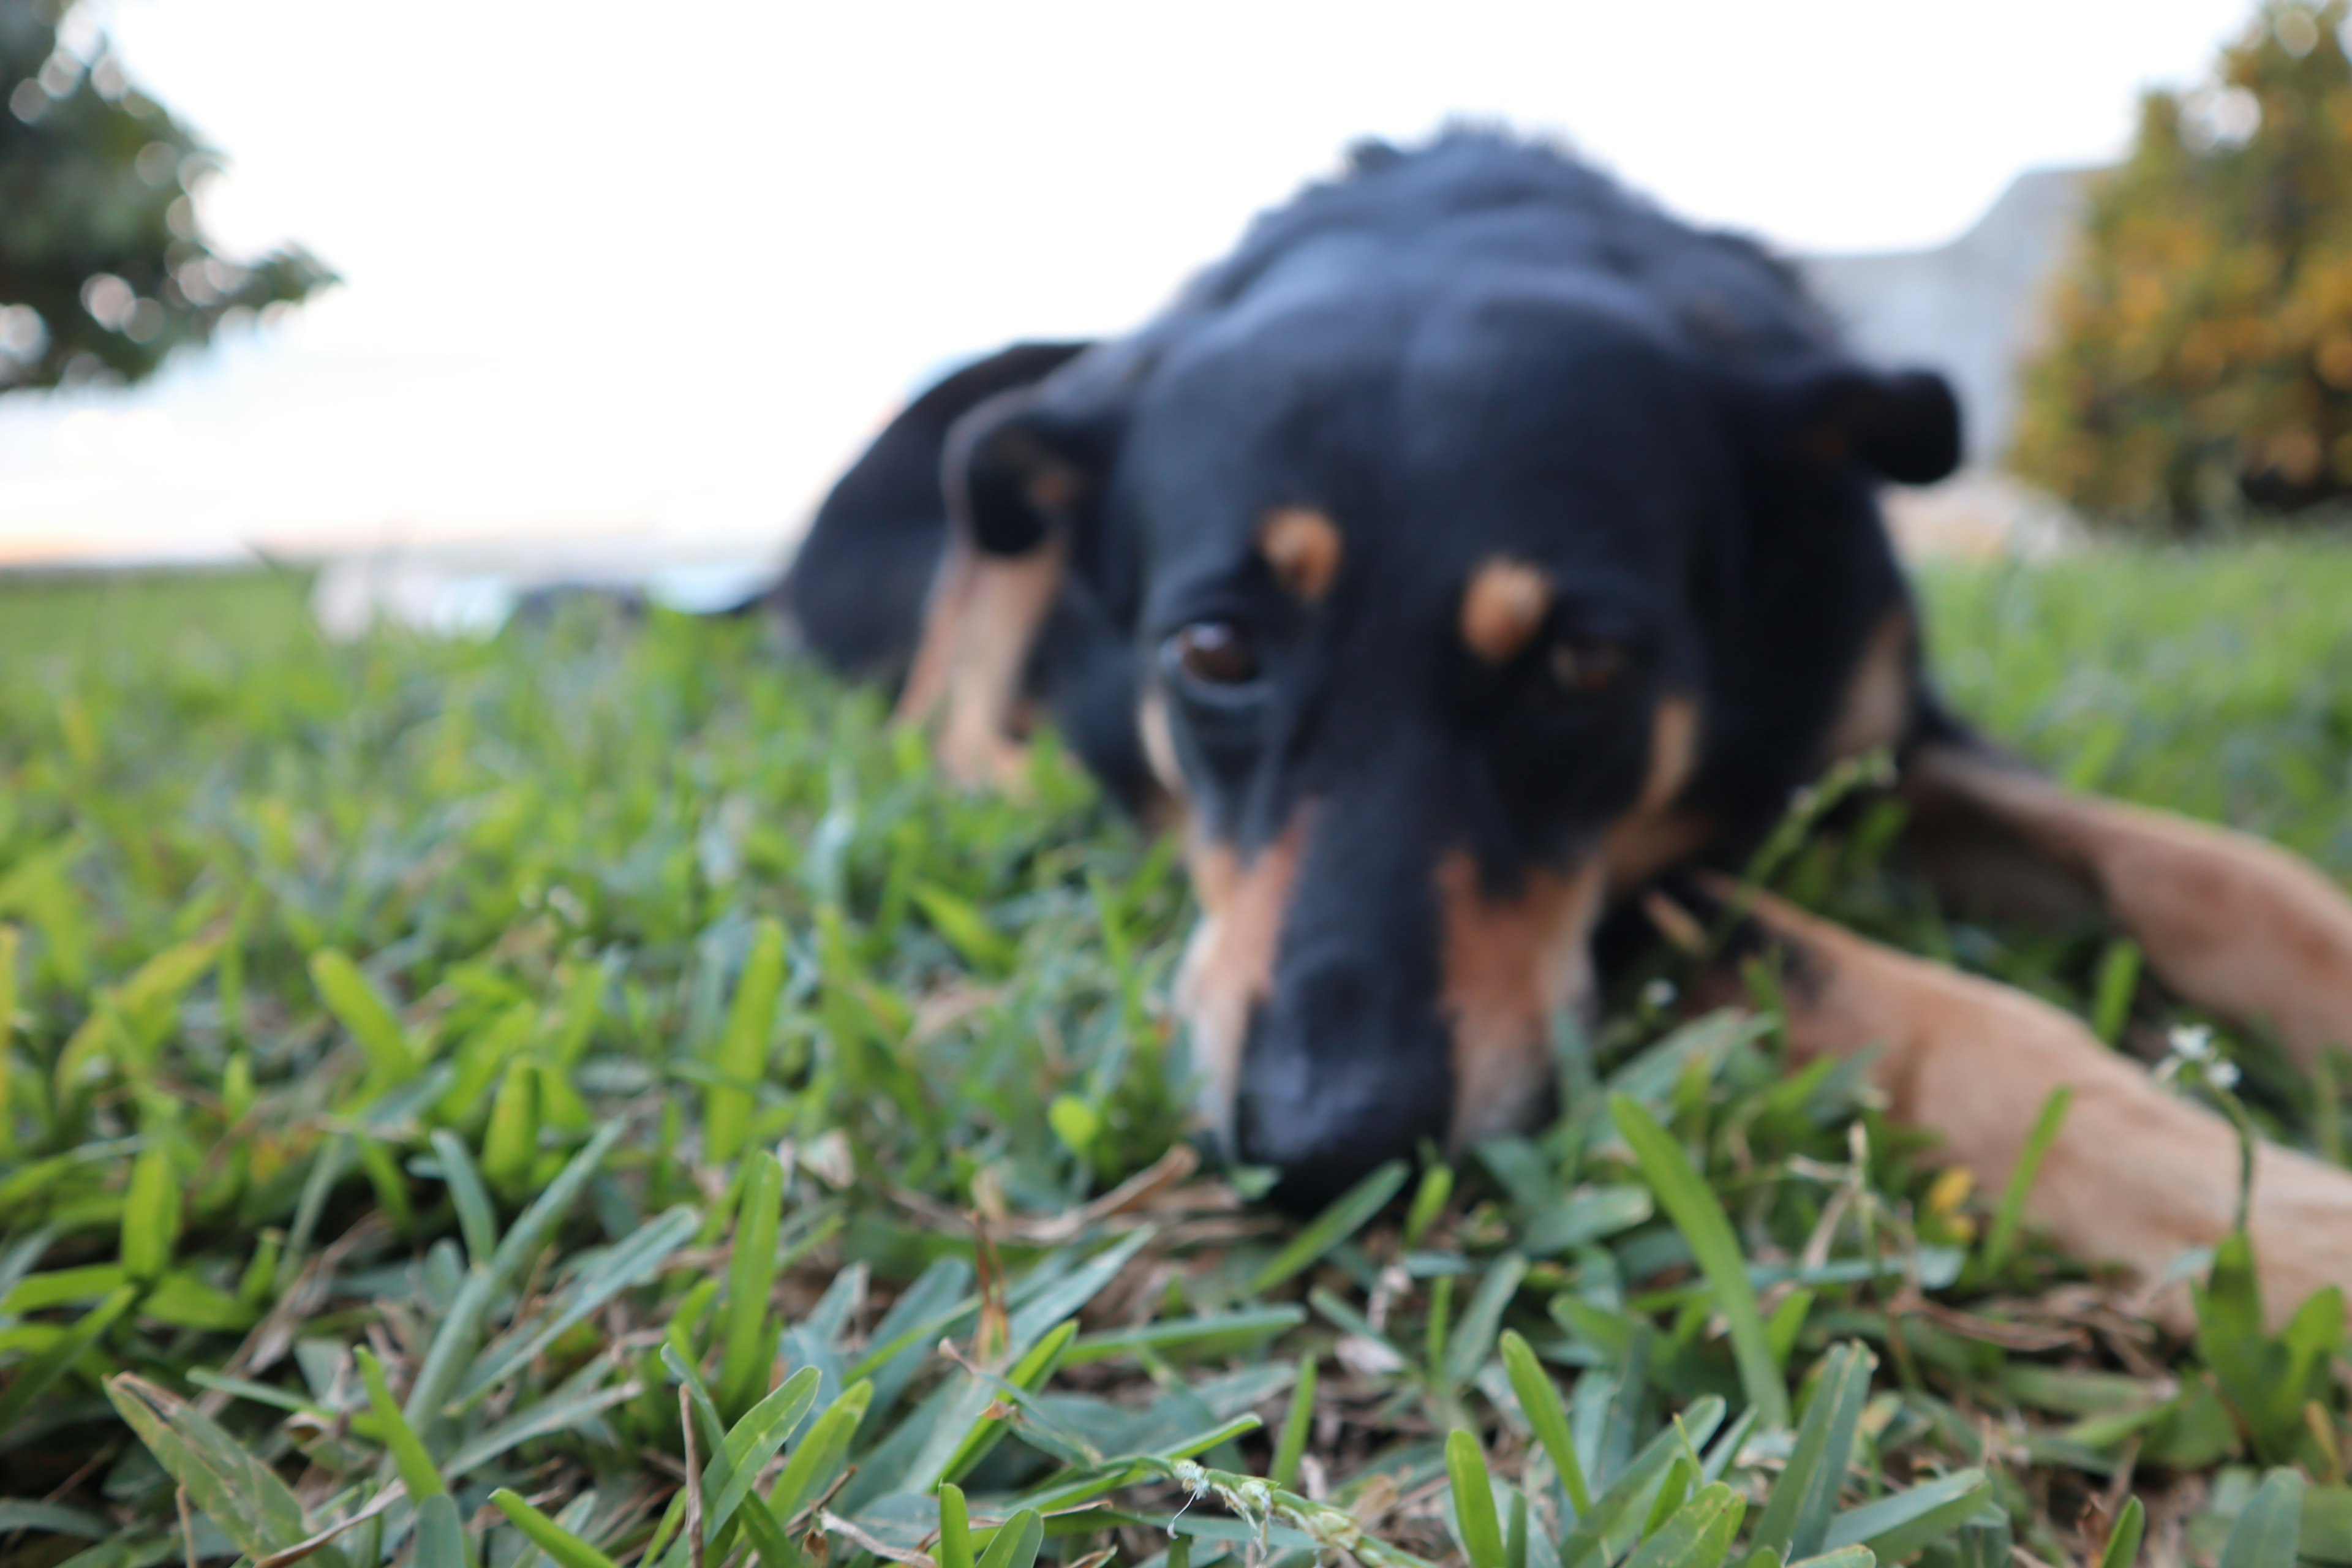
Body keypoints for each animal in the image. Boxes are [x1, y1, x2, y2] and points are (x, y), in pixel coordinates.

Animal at [785, 135, 2352, 1335]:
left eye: (1585, 663)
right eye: (1213, 651)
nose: (1327, 1146)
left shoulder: (1881, 741)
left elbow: (2205, 868)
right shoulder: (1629, 899)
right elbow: (1914, 996)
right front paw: (2277, 1227)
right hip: (989, 487)